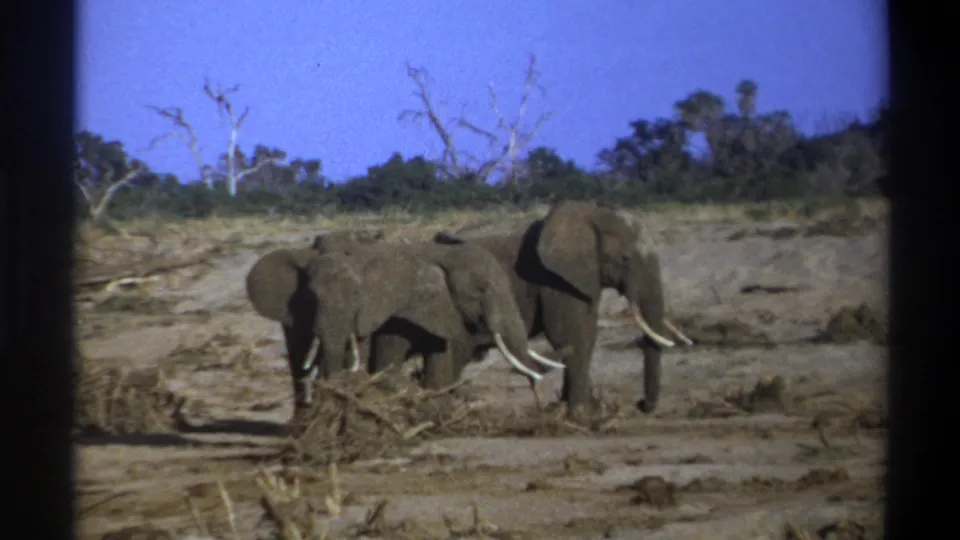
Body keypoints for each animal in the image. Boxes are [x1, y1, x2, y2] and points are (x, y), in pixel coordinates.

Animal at [369, 200, 693, 418]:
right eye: (625, 259)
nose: (640, 405)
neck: (589, 213)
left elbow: (583, 332)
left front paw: (578, 411)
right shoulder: (553, 279)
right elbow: (574, 334)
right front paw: (581, 415)